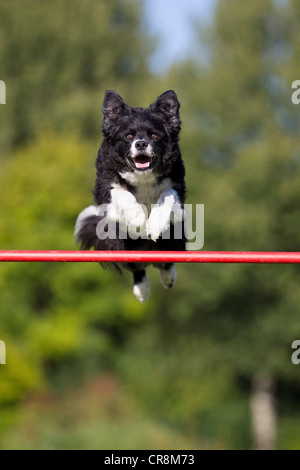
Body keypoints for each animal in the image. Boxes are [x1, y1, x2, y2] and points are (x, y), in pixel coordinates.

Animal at [75, 90, 185, 302]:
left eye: (154, 135)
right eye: (128, 136)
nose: (141, 144)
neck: (142, 176)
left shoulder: (177, 187)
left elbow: (167, 194)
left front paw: (154, 224)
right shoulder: (105, 186)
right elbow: (122, 193)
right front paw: (137, 219)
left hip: (176, 238)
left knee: (167, 260)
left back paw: (168, 278)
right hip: (123, 244)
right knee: (136, 266)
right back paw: (142, 289)